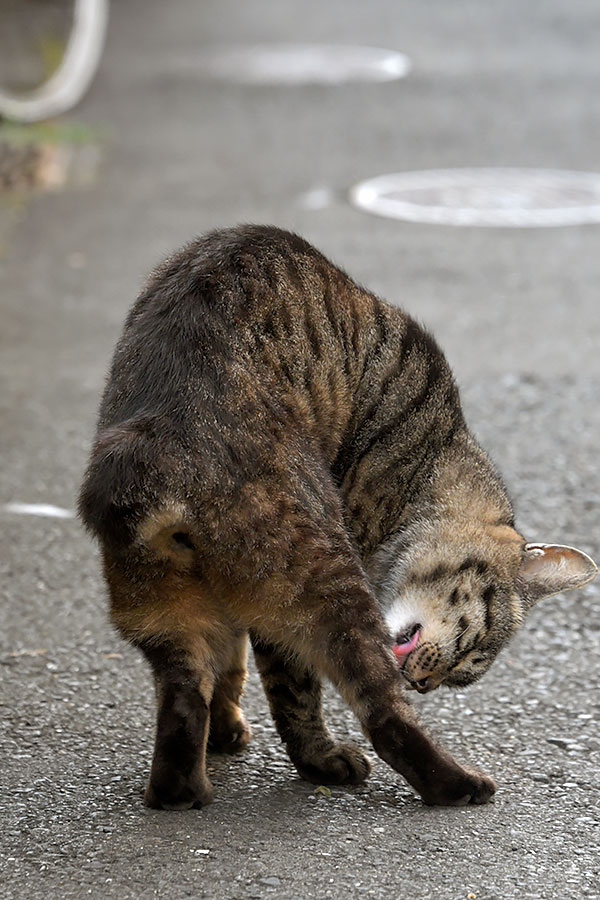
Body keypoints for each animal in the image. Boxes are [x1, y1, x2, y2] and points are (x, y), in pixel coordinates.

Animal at [78, 223, 596, 808]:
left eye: (461, 676)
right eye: (472, 656)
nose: (424, 686)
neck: (436, 461)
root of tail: (160, 446)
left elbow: (228, 661)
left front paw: (226, 728)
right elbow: (293, 691)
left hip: (158, 609)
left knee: (186, 694)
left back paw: (181, 789)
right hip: (327, 581)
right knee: (375, 712)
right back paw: (439, 781)